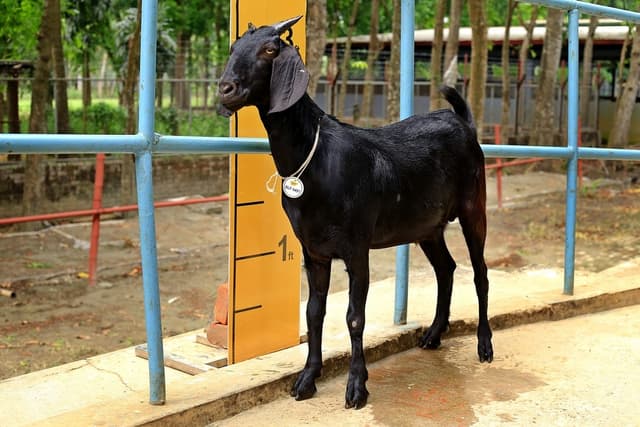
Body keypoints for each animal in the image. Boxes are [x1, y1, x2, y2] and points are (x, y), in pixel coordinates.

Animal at [218, 16, 493, 410]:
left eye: (270, 50)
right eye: (233, 47)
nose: (225, 89)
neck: (314, 158)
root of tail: (463, 122)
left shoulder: (356, 247)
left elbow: (354, 318)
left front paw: (356, 387)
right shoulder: (313, 251)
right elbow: (313, 313)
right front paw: (306, 379)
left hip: (474, 207)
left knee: (480, 272)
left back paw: (484, 346)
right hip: (427, 227)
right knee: (446, 268)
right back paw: (433, 334)